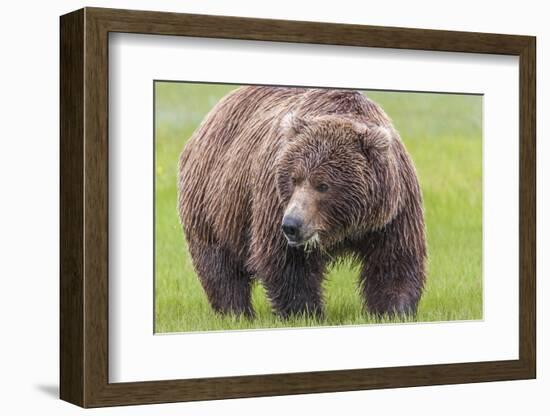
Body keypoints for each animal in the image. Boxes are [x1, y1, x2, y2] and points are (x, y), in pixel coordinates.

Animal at [179, 84, 430, 318]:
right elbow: (288, 263)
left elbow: (394, 261)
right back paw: (236, 312)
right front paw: (305, 312)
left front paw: (394, 310)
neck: (344, 227)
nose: (291, 225)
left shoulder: (393, 210)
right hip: (215, 203)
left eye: (323, 185)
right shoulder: (274, 202)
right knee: (221, 266)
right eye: (294, 178)